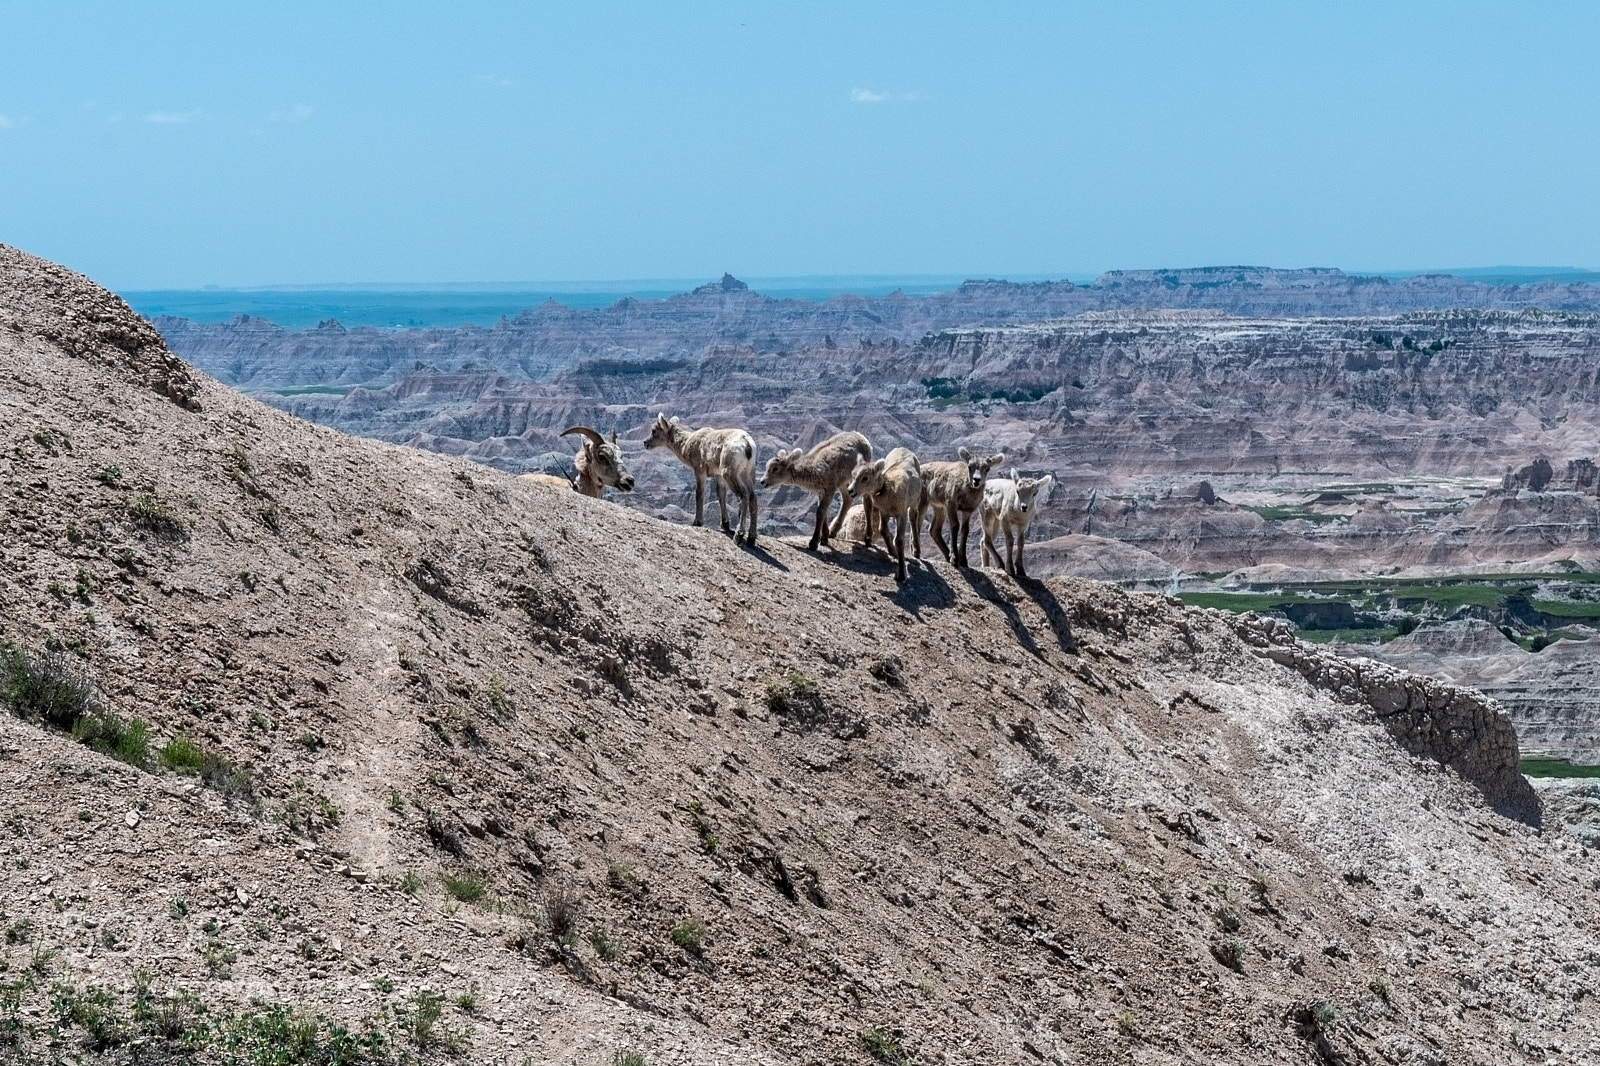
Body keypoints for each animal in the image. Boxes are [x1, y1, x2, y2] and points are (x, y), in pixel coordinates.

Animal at [644, 412, 759, 545]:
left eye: (654, 430)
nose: (645, 443)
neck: (687, 444)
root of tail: (747, 444)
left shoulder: (700, 471)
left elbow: (699, 494)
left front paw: (697, 522)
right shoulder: (719, 476)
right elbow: (721, 495)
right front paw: (725, 524)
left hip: (730, 473)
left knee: (743, 497)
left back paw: (738, 536)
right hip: (747, 473)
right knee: (753, 497)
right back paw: (751, 538)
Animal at [847, 447, 924, 582]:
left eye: (865, 478)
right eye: (853, 474)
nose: (850, 491)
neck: (889, 490)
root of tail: (903, 448)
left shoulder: (901, 515)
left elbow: (899, 540)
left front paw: (901, 574)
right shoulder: (884, 513)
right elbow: (882, 530)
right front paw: (893, 552)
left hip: (915, 502)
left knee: (913, 518)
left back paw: (917, 551)